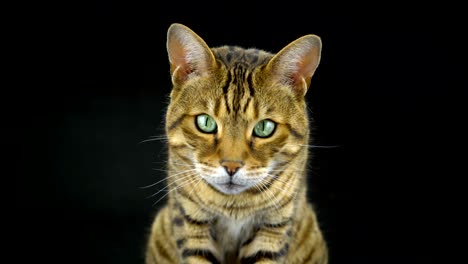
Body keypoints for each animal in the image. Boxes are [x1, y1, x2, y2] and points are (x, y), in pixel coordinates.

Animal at [145, 23, 326, 264]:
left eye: (264, 127)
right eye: (206, 123)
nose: (231, 167)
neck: (234, 206)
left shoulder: (275, 227)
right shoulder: (189, 220)